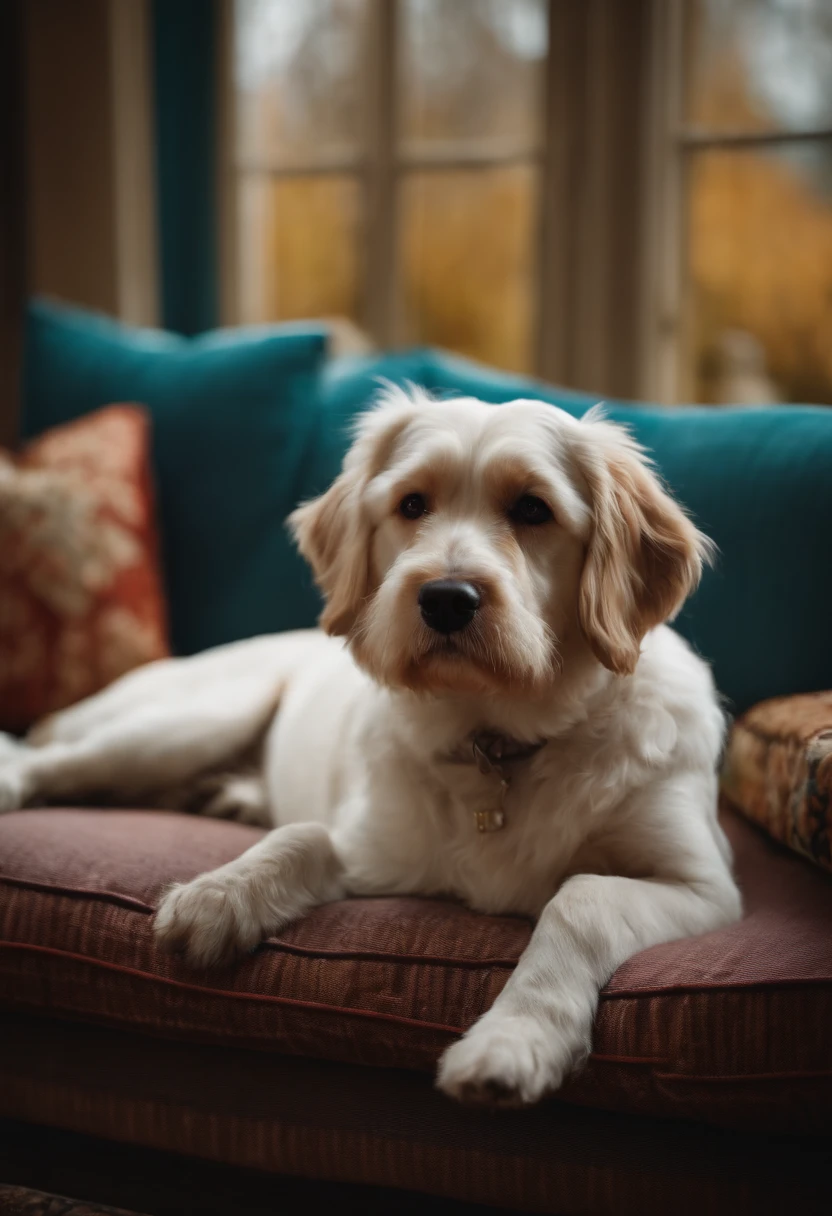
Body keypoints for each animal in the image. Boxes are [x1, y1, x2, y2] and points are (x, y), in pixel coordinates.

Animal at [0, 389, 739, 1113]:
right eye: (412, 504)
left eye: (533, 509)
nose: (446, 599)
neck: (497, 744)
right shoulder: (375, 849)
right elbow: (301, 836)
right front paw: (217, 895)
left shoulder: (704, 888)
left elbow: (580, 898)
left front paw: (513, 1041)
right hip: (190, 722)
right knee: (50, 761)